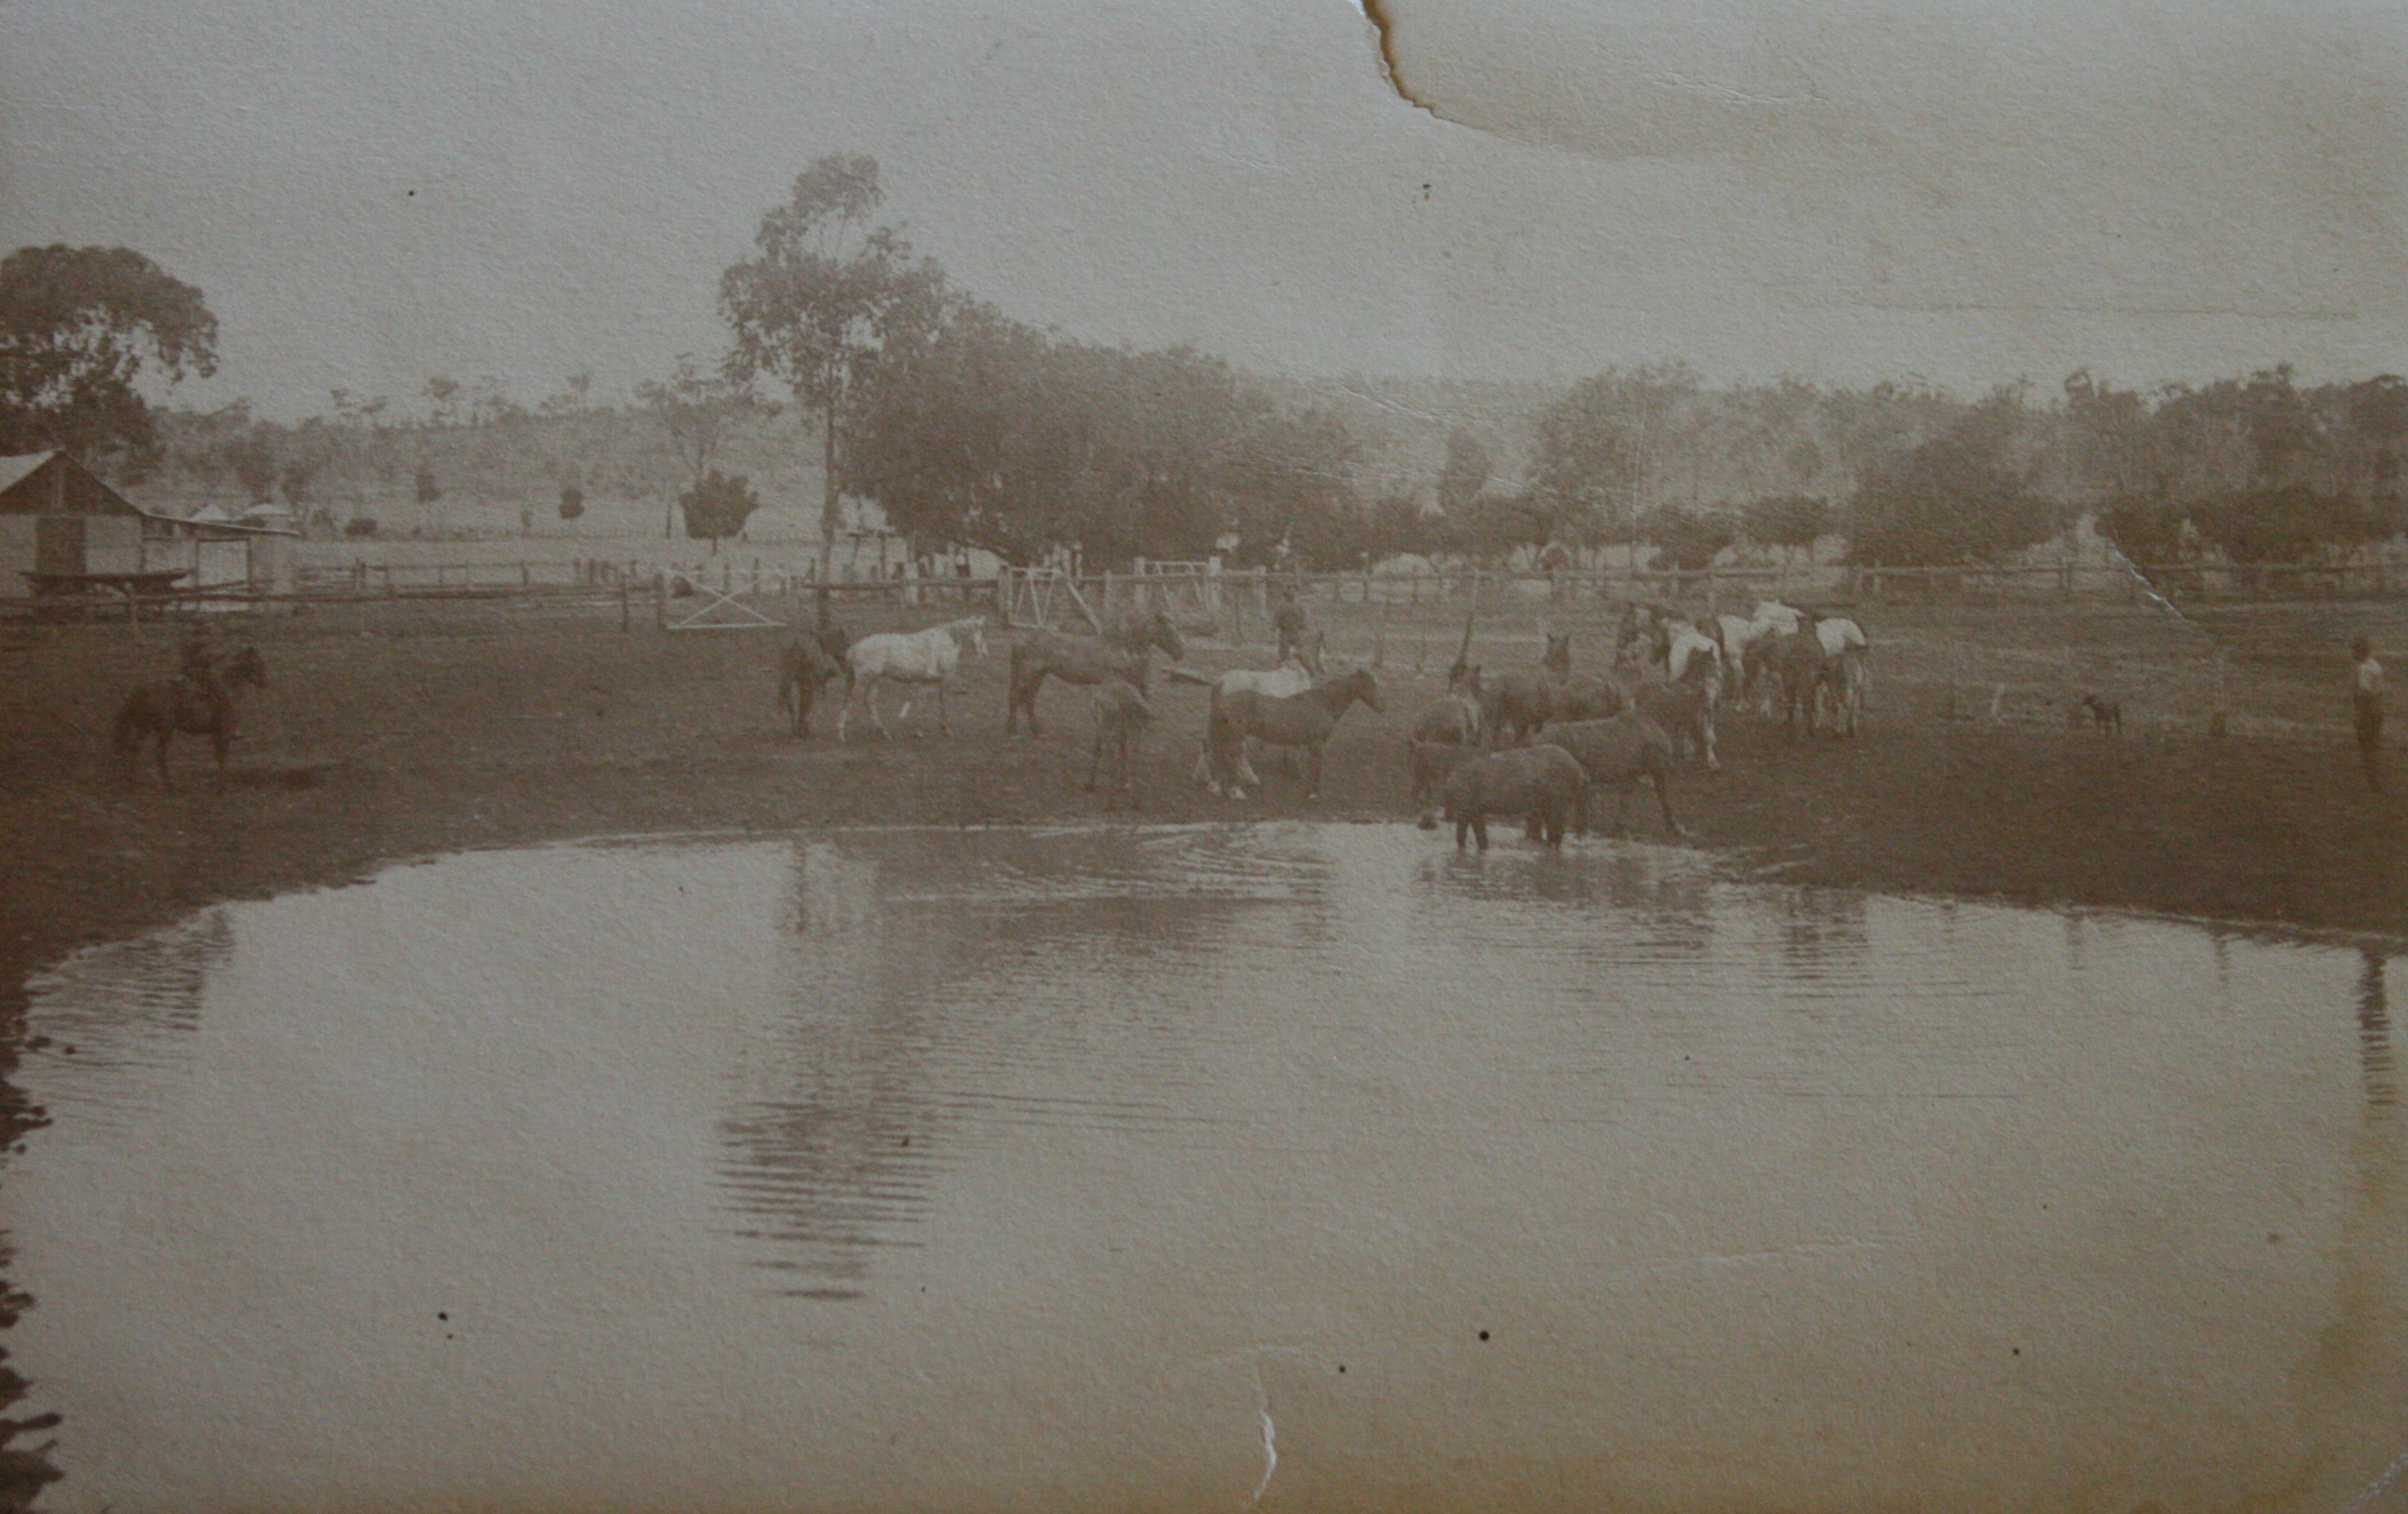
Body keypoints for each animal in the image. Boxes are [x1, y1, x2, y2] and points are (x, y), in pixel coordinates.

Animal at [113, 640, 267, 780]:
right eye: (258, 662)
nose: (264, 682)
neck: (228, 687)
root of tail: (143, 688)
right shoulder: (223, 732)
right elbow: (222, 758)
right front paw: (222, 784)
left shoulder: (217, 733)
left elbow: (219, 757)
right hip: (164, 730)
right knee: (158, 754)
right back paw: (167, 786)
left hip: (144, 727)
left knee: (135, 748)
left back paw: (133, 781)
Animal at [838, 611, 987, 736]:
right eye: (981, 632)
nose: (984, 653)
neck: (946, 641)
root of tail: (855, 648)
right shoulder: (943, 679)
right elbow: (941, 701)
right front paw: (945, 728)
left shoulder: (927, 681)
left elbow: (922, 702)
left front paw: (919, 730)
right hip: (864, 680)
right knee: (851, 700)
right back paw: (842, 733)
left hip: (873, 680)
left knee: (869, 702)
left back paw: (884, 732)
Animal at [1214, 664, 1386, 799]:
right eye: (1369, 685)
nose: (1382, 707)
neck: (1323, 702)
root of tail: (1224, 698)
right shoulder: (1316, 743)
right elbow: (1316, 767)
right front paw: (1314, 794)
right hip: (1235, 737)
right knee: (1231, 758)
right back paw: (1236, 790)